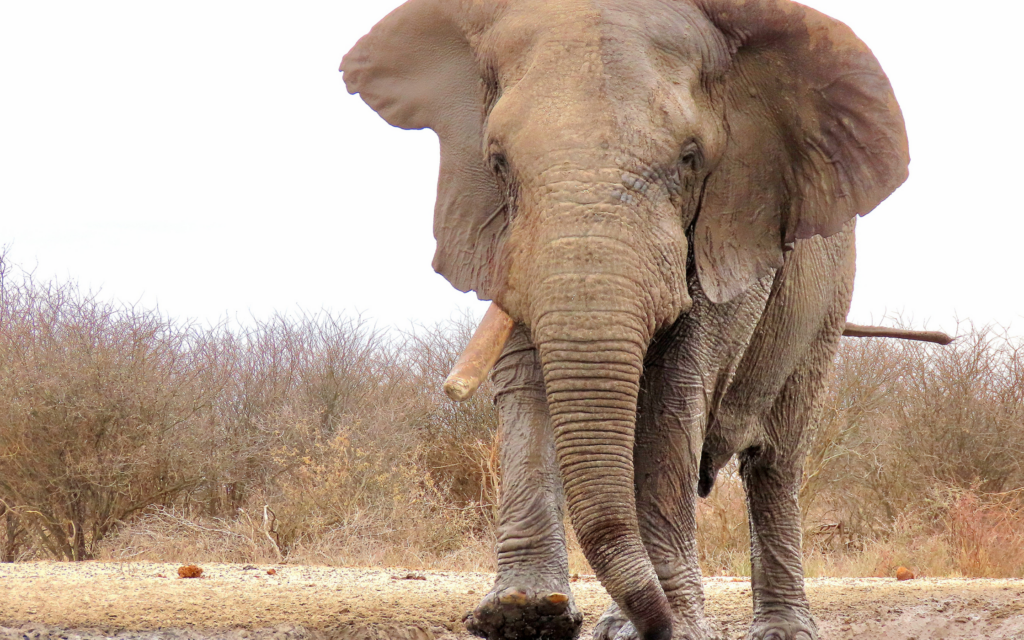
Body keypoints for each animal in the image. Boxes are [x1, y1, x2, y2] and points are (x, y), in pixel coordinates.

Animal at [341, 0, 908, 638]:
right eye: (498, 163)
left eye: (690, 159)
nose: (656, 624)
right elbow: (525, 381)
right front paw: (522, 614)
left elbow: (671, 393)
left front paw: (668, 626)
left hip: (828, 302)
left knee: (776, 461)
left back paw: (778, 628)